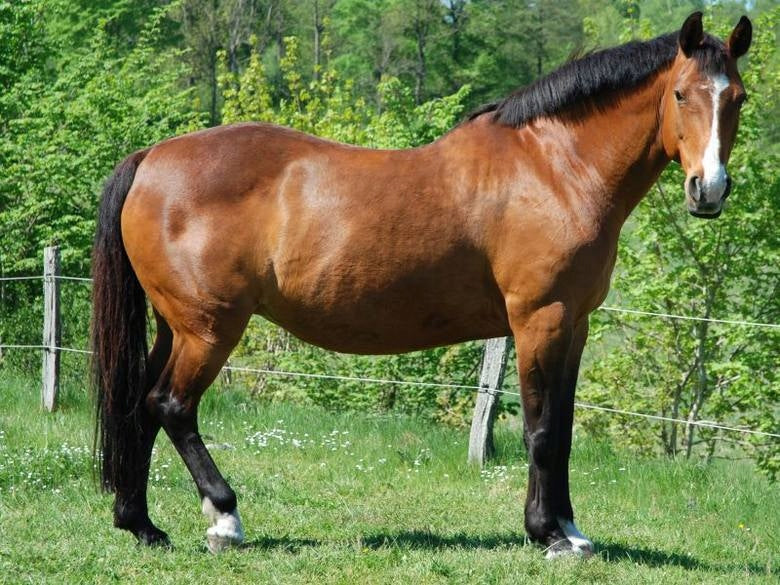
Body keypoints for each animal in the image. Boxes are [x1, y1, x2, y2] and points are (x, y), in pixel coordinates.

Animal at [91, 12, 752, 557]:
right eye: (680, 94)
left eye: (738, 98)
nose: (709, 190)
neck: (555, 168)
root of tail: (151, 158)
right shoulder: (540, 318)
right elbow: (540, 430)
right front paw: (548, 534)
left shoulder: (575, 323)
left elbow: (560, 427)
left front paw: (569, 528)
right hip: (209, 328)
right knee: (171, 405)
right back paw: (225, 519)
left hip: (175, 326)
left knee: (140, 405)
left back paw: (141, 524)